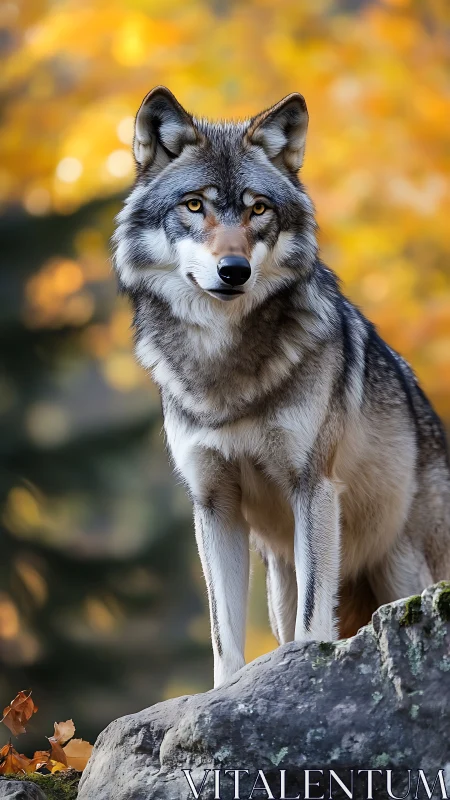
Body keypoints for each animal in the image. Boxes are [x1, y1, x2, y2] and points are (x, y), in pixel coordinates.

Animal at [113, 86, 450, 687]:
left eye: (258, 208)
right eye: (194, 205)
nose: (234, 270)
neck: (222, 365)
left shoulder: (313, 486)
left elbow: (313, 623)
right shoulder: (213, 503)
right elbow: (223, 634)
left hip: (405, 575)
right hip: (278, 580)